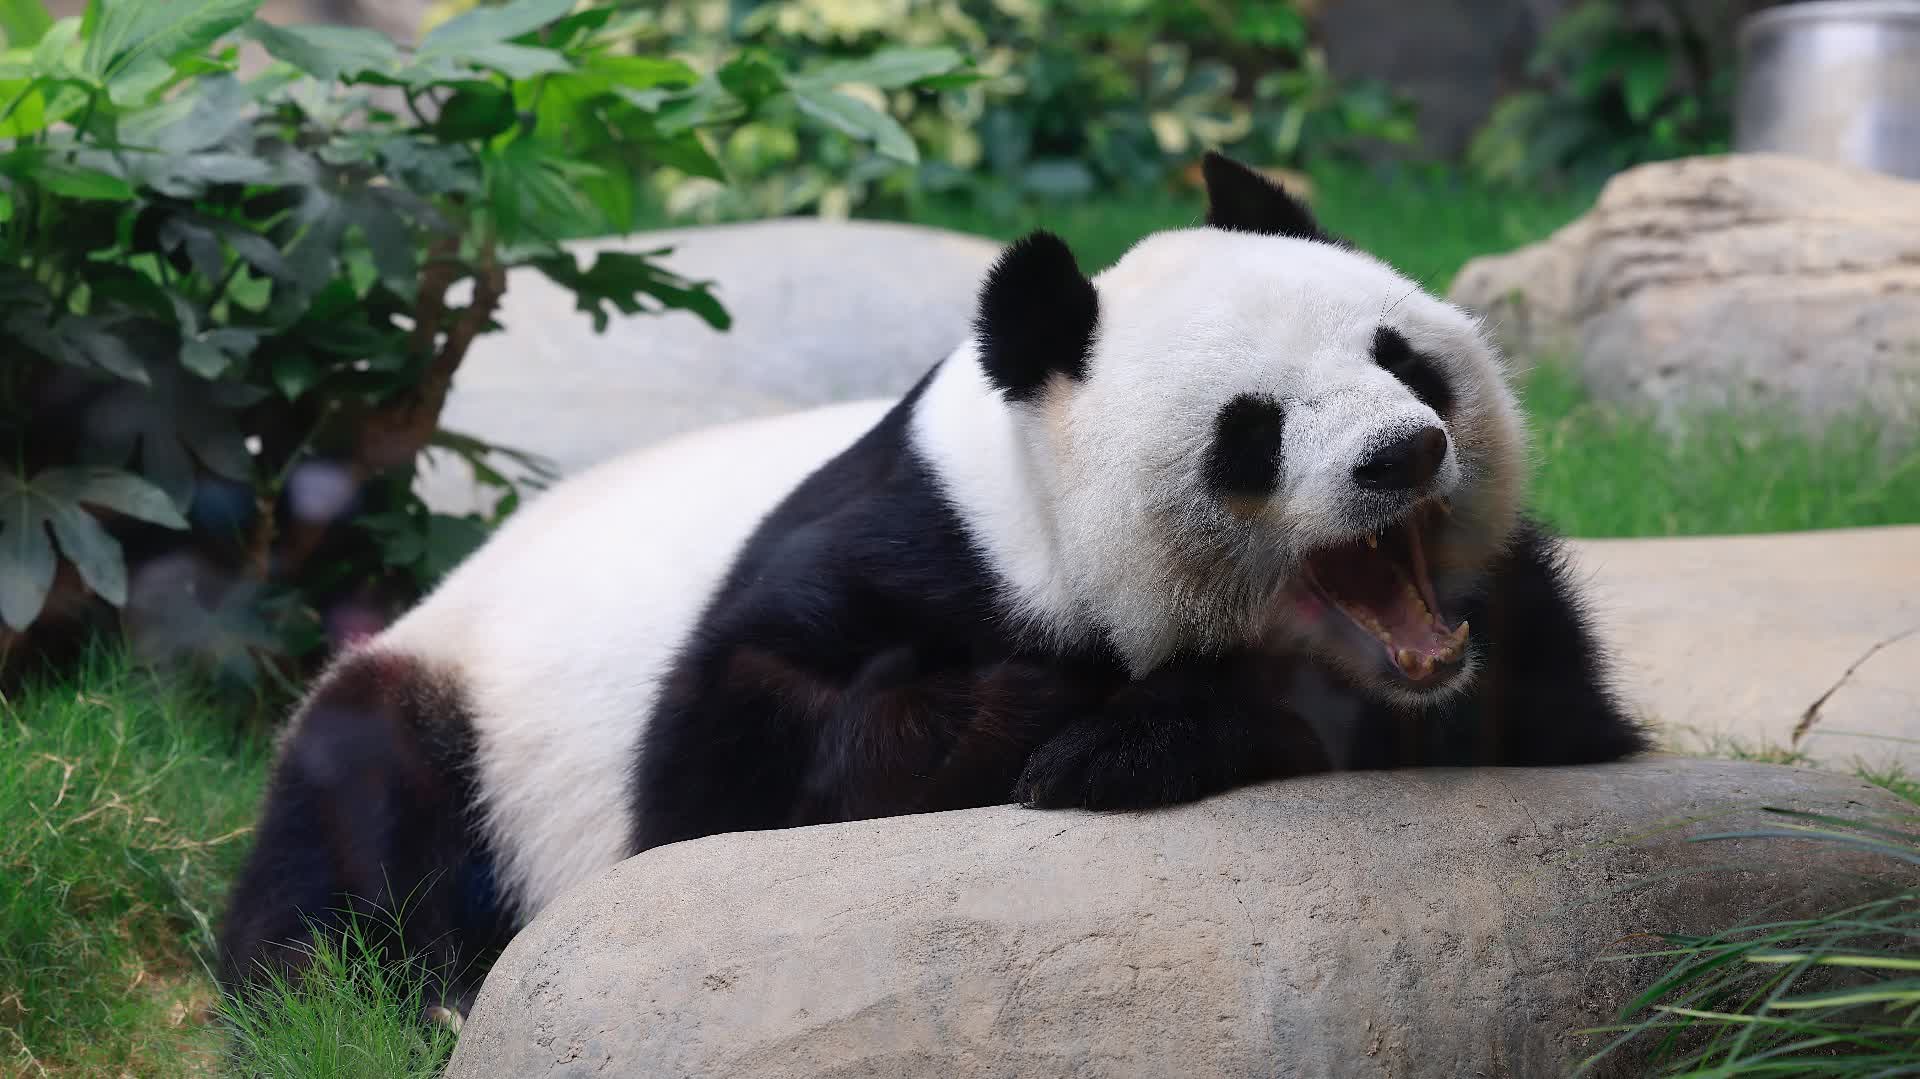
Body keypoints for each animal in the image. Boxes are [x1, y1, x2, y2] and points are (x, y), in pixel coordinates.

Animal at [217, 151, 1643, 1006]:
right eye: (1253, 429)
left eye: (1403, 356)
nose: (1403, 454)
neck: (1025, 492)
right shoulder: (899, 546)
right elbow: (729, 763)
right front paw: (1083, 722)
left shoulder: (1491, 637)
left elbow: (1544, 706)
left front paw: (1150, 730)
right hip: (464, 699)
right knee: (358, 822)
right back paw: (363, 988)